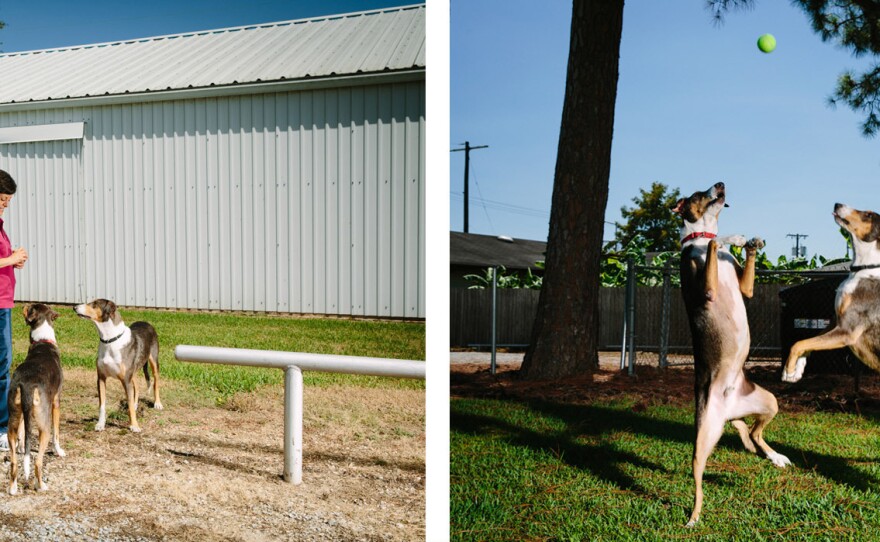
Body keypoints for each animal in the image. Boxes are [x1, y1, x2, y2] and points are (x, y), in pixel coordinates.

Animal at [8, 304, 65, 496]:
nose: (24, 305)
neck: (43, 340)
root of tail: (27, 384)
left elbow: (23, 433)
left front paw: (21, 446)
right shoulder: (56, 402)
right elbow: (57, 435)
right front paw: (59, 452)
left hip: (13, 419)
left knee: (14, 462)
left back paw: (13, 488)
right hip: (44, 424)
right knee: (38, 462)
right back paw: (41, 486)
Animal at [74, 300, 162, 436]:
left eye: (94, 304)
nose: (74, 307)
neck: (109, 341)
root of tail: (146, 322)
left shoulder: (125, 380)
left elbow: (129, 404)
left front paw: (134, 426)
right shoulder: (101, 378)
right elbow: (102, 405)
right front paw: (100, 424)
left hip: (153, 361)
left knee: (156, 382)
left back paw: (157, 403)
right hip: (133, 372)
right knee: (136, 386)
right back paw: (136, 404)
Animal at [672, 182, 792, 528]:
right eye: (699, 193)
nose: (721, 184)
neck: (699, 234)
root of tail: (728, 410)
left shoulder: (745, 288)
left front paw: (751, 244)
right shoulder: (707, 289)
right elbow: (715, 244)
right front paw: (734, 238)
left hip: (769, 402)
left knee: (753, 432)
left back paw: (776, 457)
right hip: (703, 438)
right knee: (698, 477)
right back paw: (693, 517)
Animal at [780, 203, 880, 382]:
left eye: (868, 215)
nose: (837, 204)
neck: (863, 268)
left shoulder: (847, 331)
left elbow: (797, 344)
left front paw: (788, 371)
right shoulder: (835, 322)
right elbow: (805, 342)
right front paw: (798, 370)